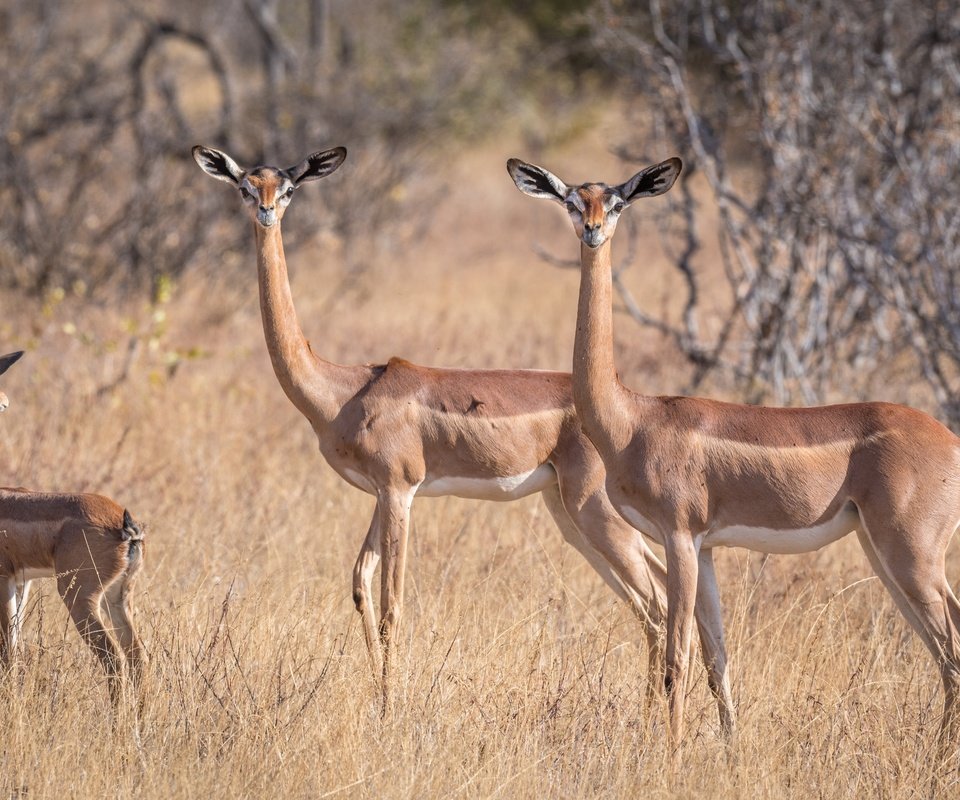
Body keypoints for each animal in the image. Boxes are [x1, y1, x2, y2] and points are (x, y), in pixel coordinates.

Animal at [191, 145, 732, 712]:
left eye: (289, 189)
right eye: (246, 186)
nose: (265, 213)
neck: (341, 391)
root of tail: (631, 411)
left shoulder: (399, 491)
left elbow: (391, 605)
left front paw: (389, 707)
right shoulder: (381, 495)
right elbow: (360, 583)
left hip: (595, 512)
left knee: (656, 603)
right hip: (568, 513)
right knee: (658, 600)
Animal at [512, 155, 960, 756]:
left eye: (620, 201)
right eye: (570, 200)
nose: (592, 230)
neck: (631, 419)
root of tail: (950, 440)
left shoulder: (679, 536)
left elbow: (677, 658)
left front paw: (672, 756)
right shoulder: (705, 549)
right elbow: (716, 659)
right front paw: (729, 750)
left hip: (911, 553)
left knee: (951, 649)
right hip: (882, 551)